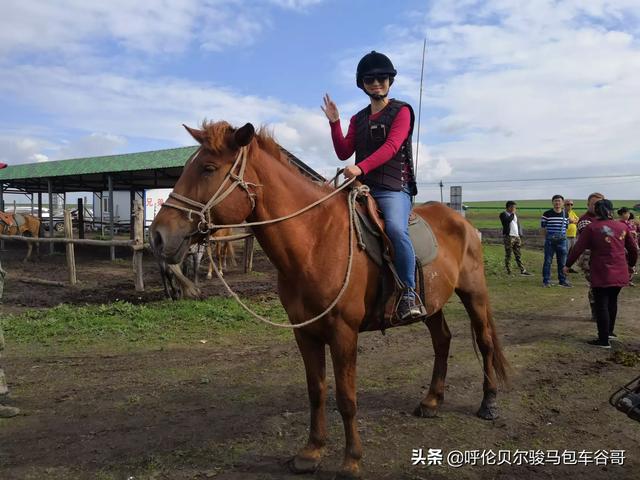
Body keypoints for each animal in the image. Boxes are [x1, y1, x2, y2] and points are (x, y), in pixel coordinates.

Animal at [150, 121, 504, 480]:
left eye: (208, 168)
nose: (158, 235)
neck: (315, 240)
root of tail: (463, 223)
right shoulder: (304, 332)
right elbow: (316, 390)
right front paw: (311, 451)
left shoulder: (343, 332)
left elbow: (346, 397)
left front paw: (351, 460)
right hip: (430, 304)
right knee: (442, 341)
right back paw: (432, 401)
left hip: (474, 293)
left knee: (485, 341)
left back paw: (488, 403)